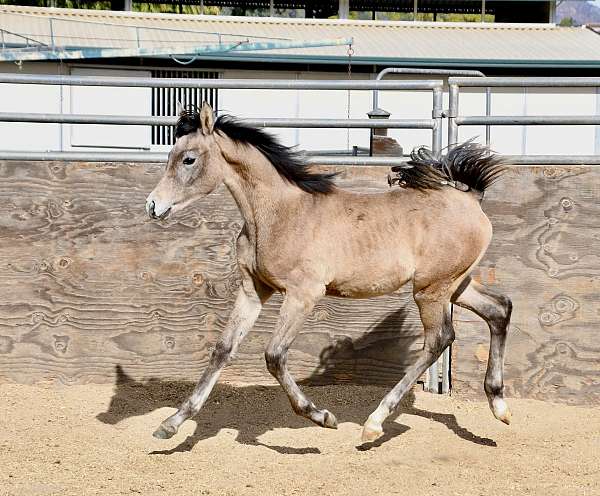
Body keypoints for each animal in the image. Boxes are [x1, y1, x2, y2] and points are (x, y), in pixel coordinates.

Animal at [144, 101, 510, 442]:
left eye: (188, 159)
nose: (152, 206)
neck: (279, 214)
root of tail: (471, 199)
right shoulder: (253, 290)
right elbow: (222, 349)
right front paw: (171, 423)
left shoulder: (303, 294)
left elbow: (274, 355)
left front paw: (321, 416)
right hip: (455, 285)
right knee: (499, 309)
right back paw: (499, 405)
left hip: (431, 290)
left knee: (440, 338)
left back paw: (374, 423)